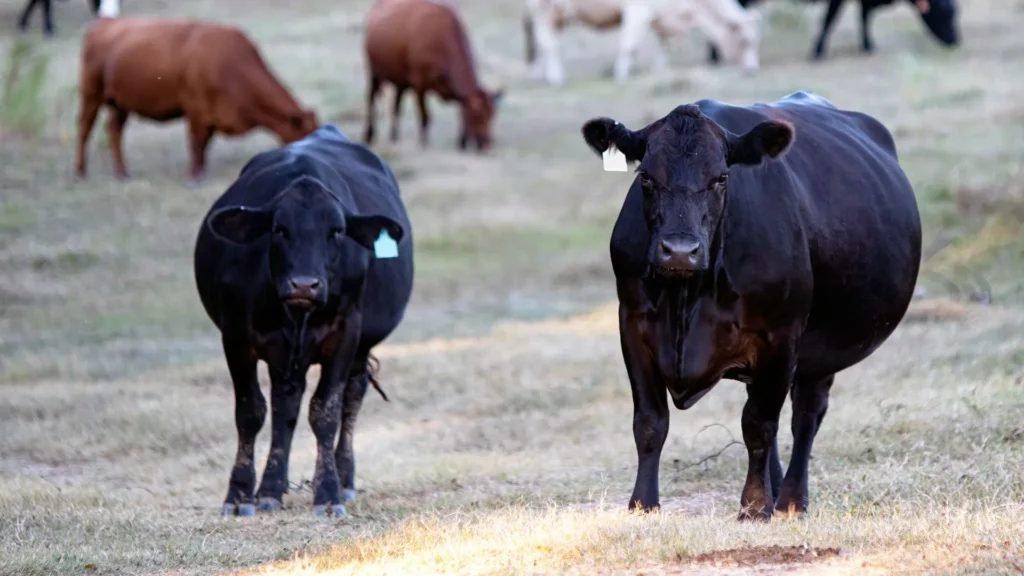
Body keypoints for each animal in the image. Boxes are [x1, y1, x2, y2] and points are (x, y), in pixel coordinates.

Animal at [74, 17, 319, 183]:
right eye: (306, 135)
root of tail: (107, 21)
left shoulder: (211, 116)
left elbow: (205, 145)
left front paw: (200, 171)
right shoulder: (196, 111)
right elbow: (196, 142)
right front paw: (193, 176)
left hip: (120, 103)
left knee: (114, 131)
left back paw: (122, 173)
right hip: (91, 95)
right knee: (84, 129)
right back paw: (80, 171)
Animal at [193, 123, 414, 517]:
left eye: (337, 230)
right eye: (279, 229)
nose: (305, 285)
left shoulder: (345, 334)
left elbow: (325, 412)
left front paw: (327, 494)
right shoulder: (235, 336)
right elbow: (251, 412)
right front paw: (239, 494)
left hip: (359, 347)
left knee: (351, 397)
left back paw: (344, 480)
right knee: (285, 406)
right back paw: (271, 488)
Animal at [363, 0, 504, 152]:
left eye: (492, 115)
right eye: (477, 115)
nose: (486, 145)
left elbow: (461, 114)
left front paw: (461, 143)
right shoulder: (419, 85)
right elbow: (425, 116)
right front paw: (424, 143)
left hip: (401, 80)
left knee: (397, 105)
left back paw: (394, 137)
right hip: (373, 73)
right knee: (371, 100)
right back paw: (369, 134)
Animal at [522, 0, 763, 86]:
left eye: (755, 41)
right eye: (745, 42)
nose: (752, 70)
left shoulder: (660, 18)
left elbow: (662, 47)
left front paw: (660, 71)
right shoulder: (637, 10)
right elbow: (629, 46)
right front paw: (621, 75)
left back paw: (538, 75)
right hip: (543, 10)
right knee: (548, 44)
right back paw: (555, 78)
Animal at [579, 90, 921, 520]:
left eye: (722, 177)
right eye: (646, 177)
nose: (680, 251)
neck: (687, 298)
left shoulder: (780, 334)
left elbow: (758, 425)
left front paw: (754, 506)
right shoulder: (633, 325)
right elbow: (650, 423)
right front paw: (643, 504)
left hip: (820, 350)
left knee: (805, 416)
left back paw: (789, 501)